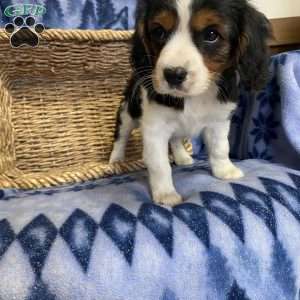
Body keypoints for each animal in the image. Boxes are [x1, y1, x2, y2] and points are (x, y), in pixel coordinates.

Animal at [110, 0, 272, 205]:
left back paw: (182, 157)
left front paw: (225, 170)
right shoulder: (155, 128)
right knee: (121, 136)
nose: (173, 74)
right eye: (158, 32)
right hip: (127, 112)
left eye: (211, 34)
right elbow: (159, 163)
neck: (195, 96)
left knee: (176, 139)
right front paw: (166, 194)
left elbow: (220, 148)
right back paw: (116, 160)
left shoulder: (218, 121)